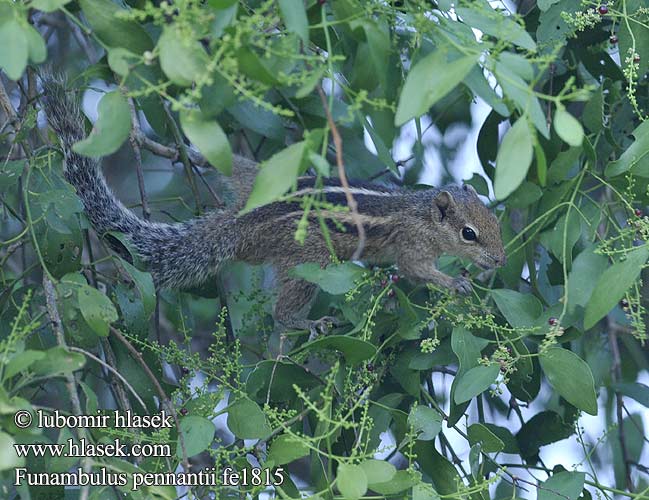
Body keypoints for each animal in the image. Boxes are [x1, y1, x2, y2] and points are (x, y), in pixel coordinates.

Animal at [41, 79, 506, 336]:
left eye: (495, 222)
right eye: (469, 233)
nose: (501, 261)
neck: (423, 211)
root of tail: (242, 221)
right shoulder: (411, 244)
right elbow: (414, 270)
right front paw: (455, 283)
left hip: (256, 178)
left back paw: (196, 154)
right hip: (310, 259)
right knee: (282, 310)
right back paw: (305, 323)